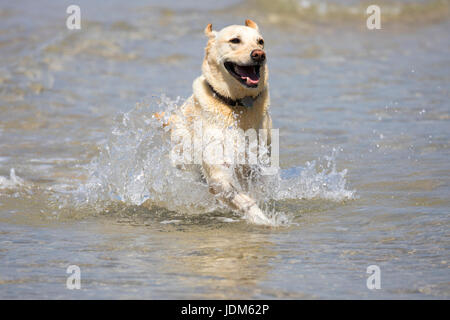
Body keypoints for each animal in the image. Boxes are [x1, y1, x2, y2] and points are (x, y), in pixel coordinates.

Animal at [156, 19, 272, 225]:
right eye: (235, 40)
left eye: (260, 41)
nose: (259, 54)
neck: (238, 105)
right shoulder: (218, 172)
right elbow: (242, 199)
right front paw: (263, 220)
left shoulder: (256, 165)